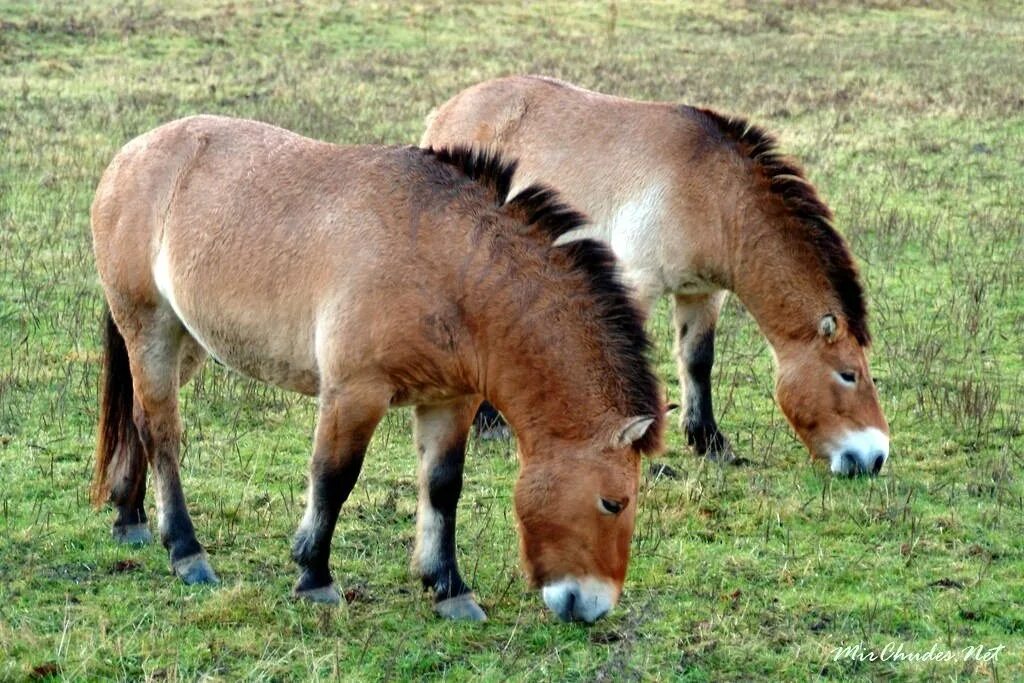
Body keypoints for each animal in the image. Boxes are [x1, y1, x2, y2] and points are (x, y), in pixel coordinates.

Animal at [88, 114, 663, 622]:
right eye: (613, 503)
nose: (593, 607)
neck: (444, 264)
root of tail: (130, 155)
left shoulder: (449, 402)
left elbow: (442, 487)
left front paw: (449, 588)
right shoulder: (353, 393)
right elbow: (333, 478)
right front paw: (315, 577)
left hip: (187, 344)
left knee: (138, 420)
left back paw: (130, 518)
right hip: (152, 331)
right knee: (161, 432)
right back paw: (187, 552)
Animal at [423, 74, 888, 479]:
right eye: (848, 374)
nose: (875, 457)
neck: (712, 192)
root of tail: (444, 113)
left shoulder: (702, 294)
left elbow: (697, 361)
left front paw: (710, 442)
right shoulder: (637, 283)